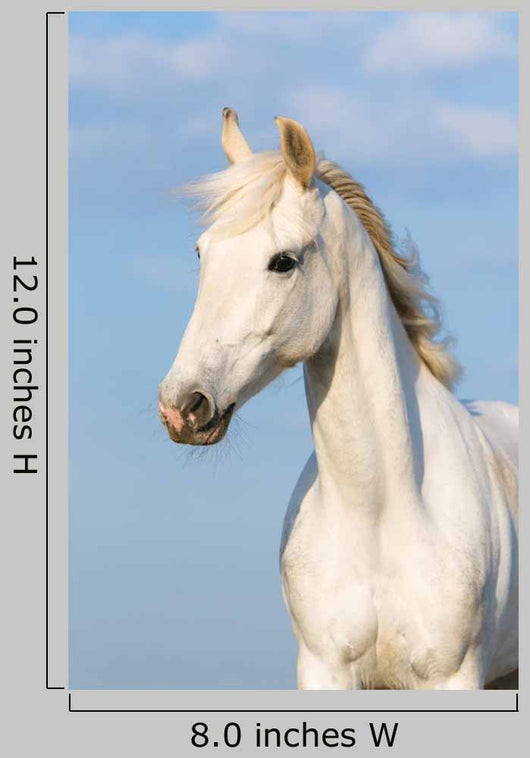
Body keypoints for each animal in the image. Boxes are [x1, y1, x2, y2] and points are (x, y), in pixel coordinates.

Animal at [158, 108, 518, 690]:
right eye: (201, 252)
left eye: (282, 261)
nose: (182, 406)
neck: (380, 510)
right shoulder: (324, 670)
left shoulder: (454, 676)